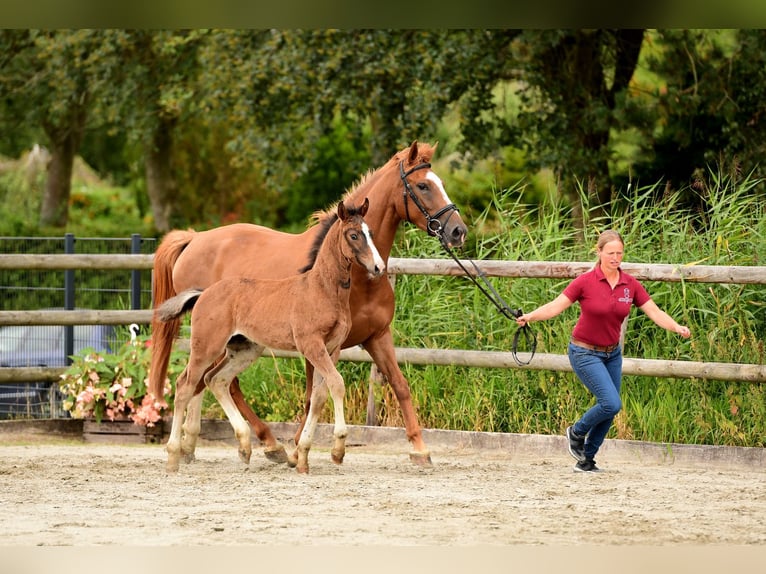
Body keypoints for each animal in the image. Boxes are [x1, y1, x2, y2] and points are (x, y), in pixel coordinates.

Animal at [158, 200, 384, 474]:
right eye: (353, 235)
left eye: (370, 232)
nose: (378, 267)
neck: (322, 289)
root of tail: (203, 293)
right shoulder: (311, 345)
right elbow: (337, 384)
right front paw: (338, 449)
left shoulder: (332, 349)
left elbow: (319, 396)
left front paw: (303, 456)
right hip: (206, 348)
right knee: (185, 385)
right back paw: (173, 456)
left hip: (244, 349)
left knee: (216, 380)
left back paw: (245, 447)